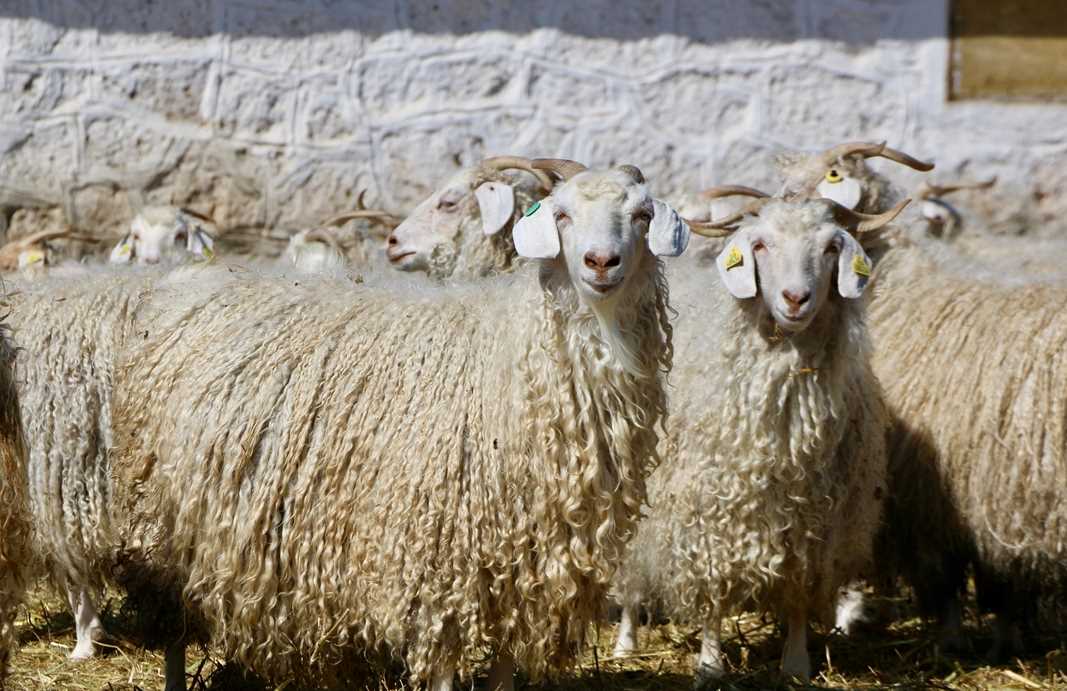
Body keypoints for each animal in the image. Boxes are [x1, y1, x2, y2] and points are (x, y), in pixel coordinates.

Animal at [110, 163, 691, 690]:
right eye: (562, 215)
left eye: (642, 215)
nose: (601, 262)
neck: (512, 356)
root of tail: (184, 280)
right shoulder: (437, 566)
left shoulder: (528, 577)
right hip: (159, 523)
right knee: (172, 628)